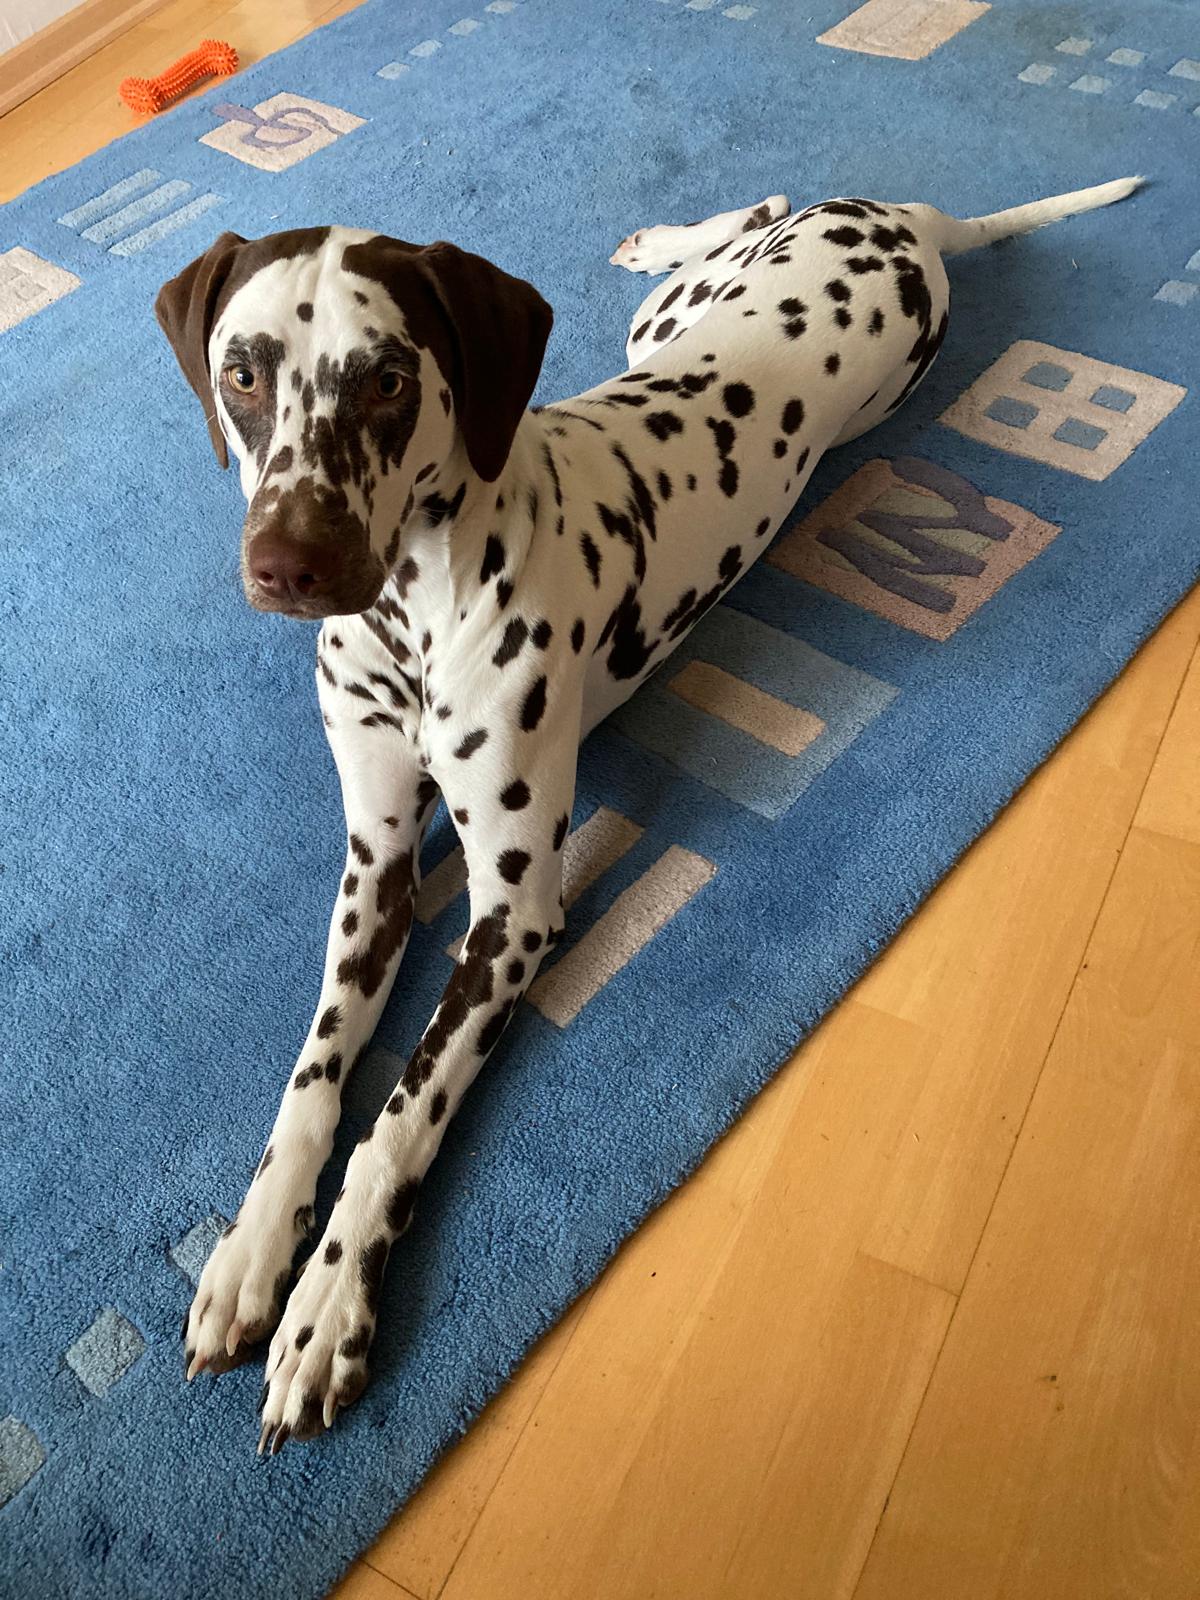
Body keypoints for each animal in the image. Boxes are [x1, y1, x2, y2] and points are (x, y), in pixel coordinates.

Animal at [156, 176, 1139, 1450]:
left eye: (387, 379)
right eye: (242, 370)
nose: (290, 564)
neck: (412, 620)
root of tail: (904, 219)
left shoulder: (514, 913)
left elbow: (399, 1115)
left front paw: (327, 1303)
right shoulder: (375, 865)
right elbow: (317, 1077)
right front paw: (250, 1247)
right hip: (659, 324)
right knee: (739, 222)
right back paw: (668, 231)